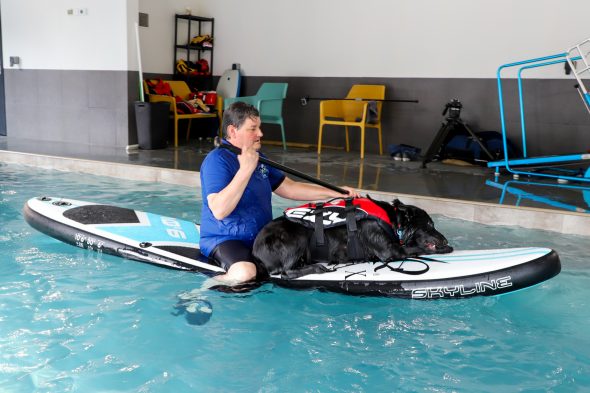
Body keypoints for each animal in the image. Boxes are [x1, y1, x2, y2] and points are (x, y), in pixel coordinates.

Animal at [253, 195, 454, 276]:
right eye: (429, 225)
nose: (445, 239)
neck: (393, 221)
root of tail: (256, 253)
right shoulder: (391, 251)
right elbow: (416, 248)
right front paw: (446, 248)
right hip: (298, 235)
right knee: (286, 272)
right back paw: (318, 268)